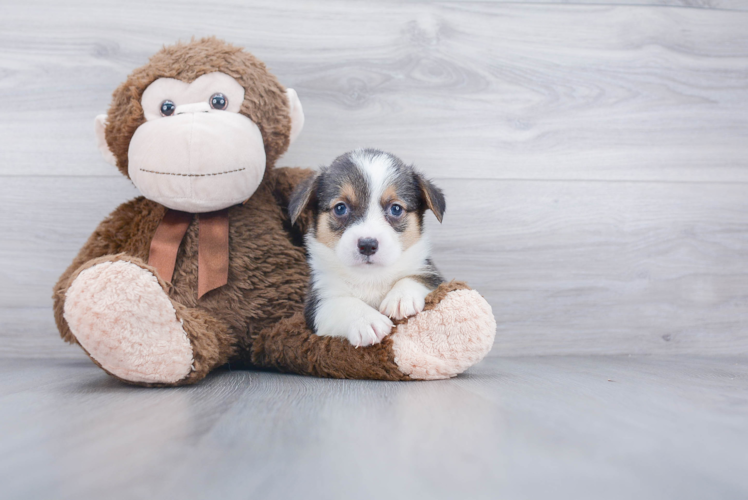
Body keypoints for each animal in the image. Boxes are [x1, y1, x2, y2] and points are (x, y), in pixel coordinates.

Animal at [290, 148, 448, 348]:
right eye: (340, 208)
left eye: (396, 209)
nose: (367, 245)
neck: (370, 276)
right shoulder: (318, 301)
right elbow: (343, 304)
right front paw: (367, 321)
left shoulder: (434, 275)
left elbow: (417, 277)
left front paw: (401, 298)